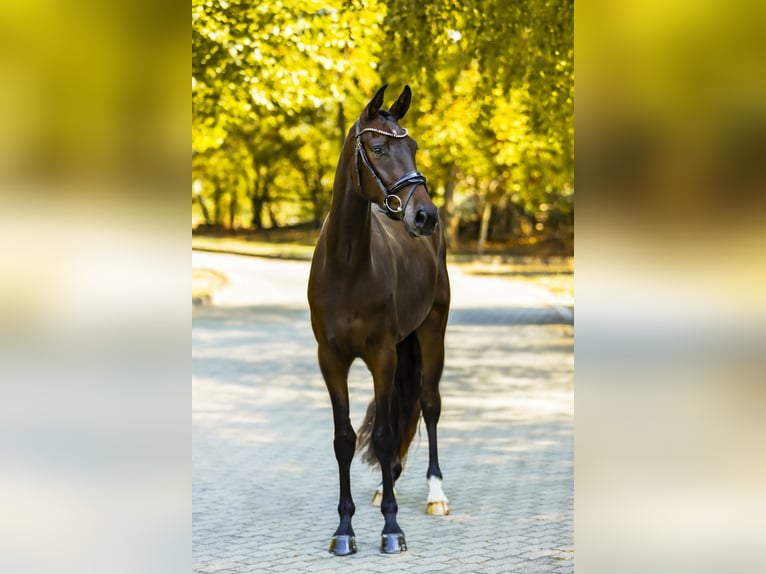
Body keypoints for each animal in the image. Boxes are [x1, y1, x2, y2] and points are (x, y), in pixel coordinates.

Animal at [306, 86, 450, 560]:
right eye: (379, 148)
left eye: (415, 147)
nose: (425, 216)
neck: (348, 265)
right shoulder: (331, 359)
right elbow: (344, 439)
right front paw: (344, 530)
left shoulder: (382, 355)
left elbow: (385, 435)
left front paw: (391, 529)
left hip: (432, 331)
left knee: (428, 404)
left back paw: (436, 495)